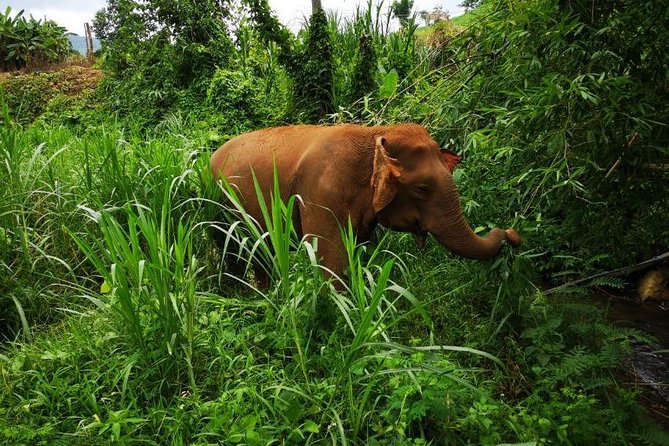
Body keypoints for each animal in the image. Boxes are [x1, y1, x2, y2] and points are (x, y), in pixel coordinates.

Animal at [210, 122, 520, 282]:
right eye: (422, 189)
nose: (512, 232)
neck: (375, 132)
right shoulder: (320, 193)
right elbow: (330, 260)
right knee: (233, 252)